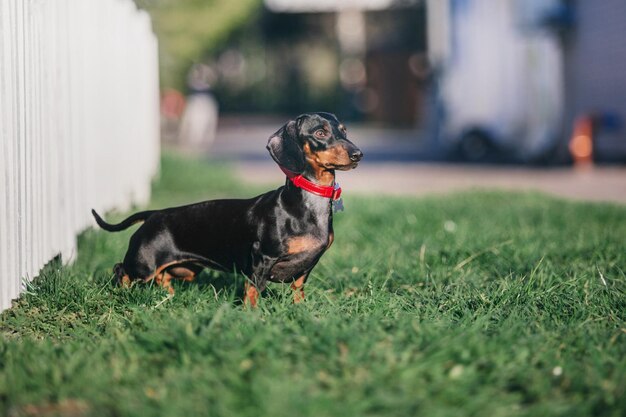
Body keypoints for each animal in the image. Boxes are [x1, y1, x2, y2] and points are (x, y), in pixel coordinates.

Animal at [91, 112, 360, 304]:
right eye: (321, 132)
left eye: (344, 131)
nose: (358, 154)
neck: (308, 204)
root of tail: (154, 214)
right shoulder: (262, 258)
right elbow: (252, 291)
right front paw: (252, 316)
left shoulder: (307, 266)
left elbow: (298, 290)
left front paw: (300, 310)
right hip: (143, 264)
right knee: (121, 270)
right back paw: (125, 293)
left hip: (186, 270)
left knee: (162, 276)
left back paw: (169, 297)